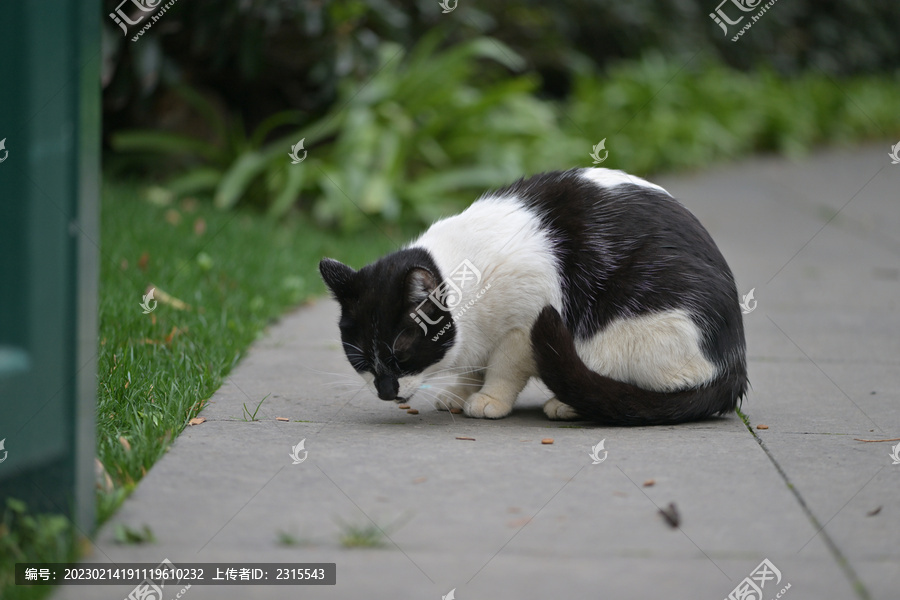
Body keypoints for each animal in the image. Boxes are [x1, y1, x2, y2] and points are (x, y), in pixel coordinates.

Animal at [320, 166, 748, 424]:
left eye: (403, 352)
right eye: (359, 358)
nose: (385, 391)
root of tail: (734, 366)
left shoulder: (523, 324)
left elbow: (503, 367)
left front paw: (489, 399)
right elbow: (472, 366)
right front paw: (459, 392)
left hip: (628, 325)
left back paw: (569, 404)